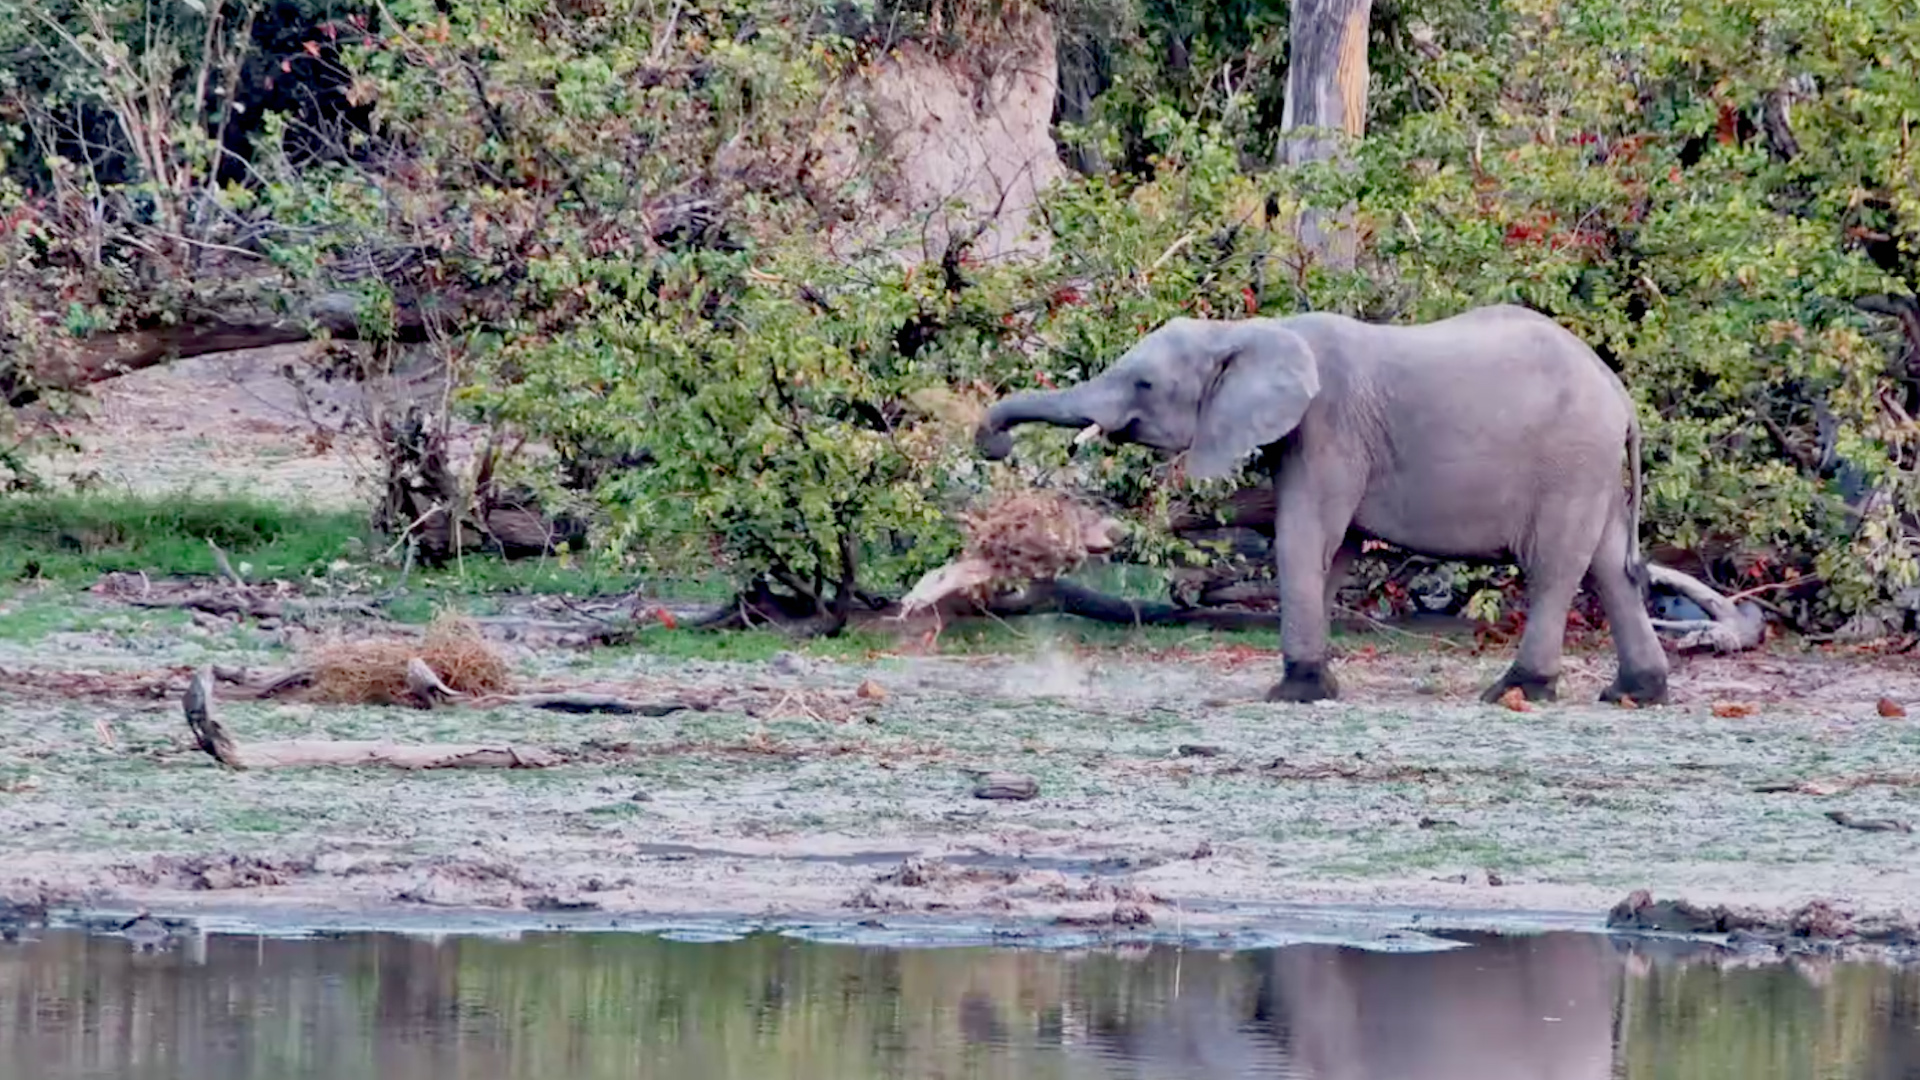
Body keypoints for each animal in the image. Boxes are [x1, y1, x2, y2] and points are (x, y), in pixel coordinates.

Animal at [974, 303, 1671, 706]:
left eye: (1144, 383)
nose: (994, 444)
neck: (1248, 332)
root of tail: (1620, 392)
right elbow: (1335, 549)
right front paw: (1312, 683)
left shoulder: (1328, 427)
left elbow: (1305, 536)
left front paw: (1294, 693)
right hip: (1592, 467)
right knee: (1609, 565)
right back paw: (1634, 693)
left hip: (1569, 460)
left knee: (1555, 568)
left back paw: (1515, 692)